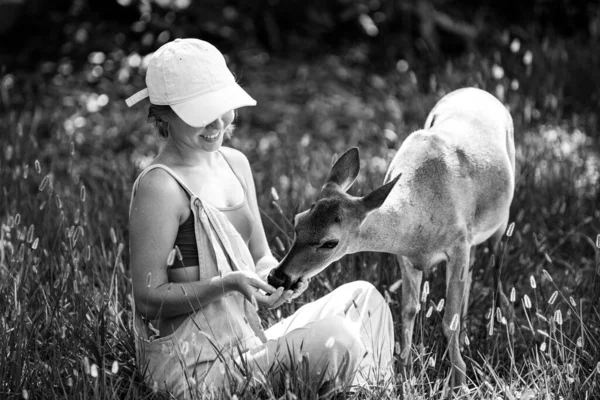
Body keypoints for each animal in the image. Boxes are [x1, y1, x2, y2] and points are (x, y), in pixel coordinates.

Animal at [268, 86, 516, 388]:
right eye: (297, 222)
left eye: (330, 242)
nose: (278, 276)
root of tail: (477, 90)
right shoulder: (405, 257)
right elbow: (409, 310)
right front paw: (405, 374)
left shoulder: (458, 243)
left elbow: (448, 320)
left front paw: (459, 380)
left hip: (502, 219)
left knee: (495, 266)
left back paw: (501, 321)